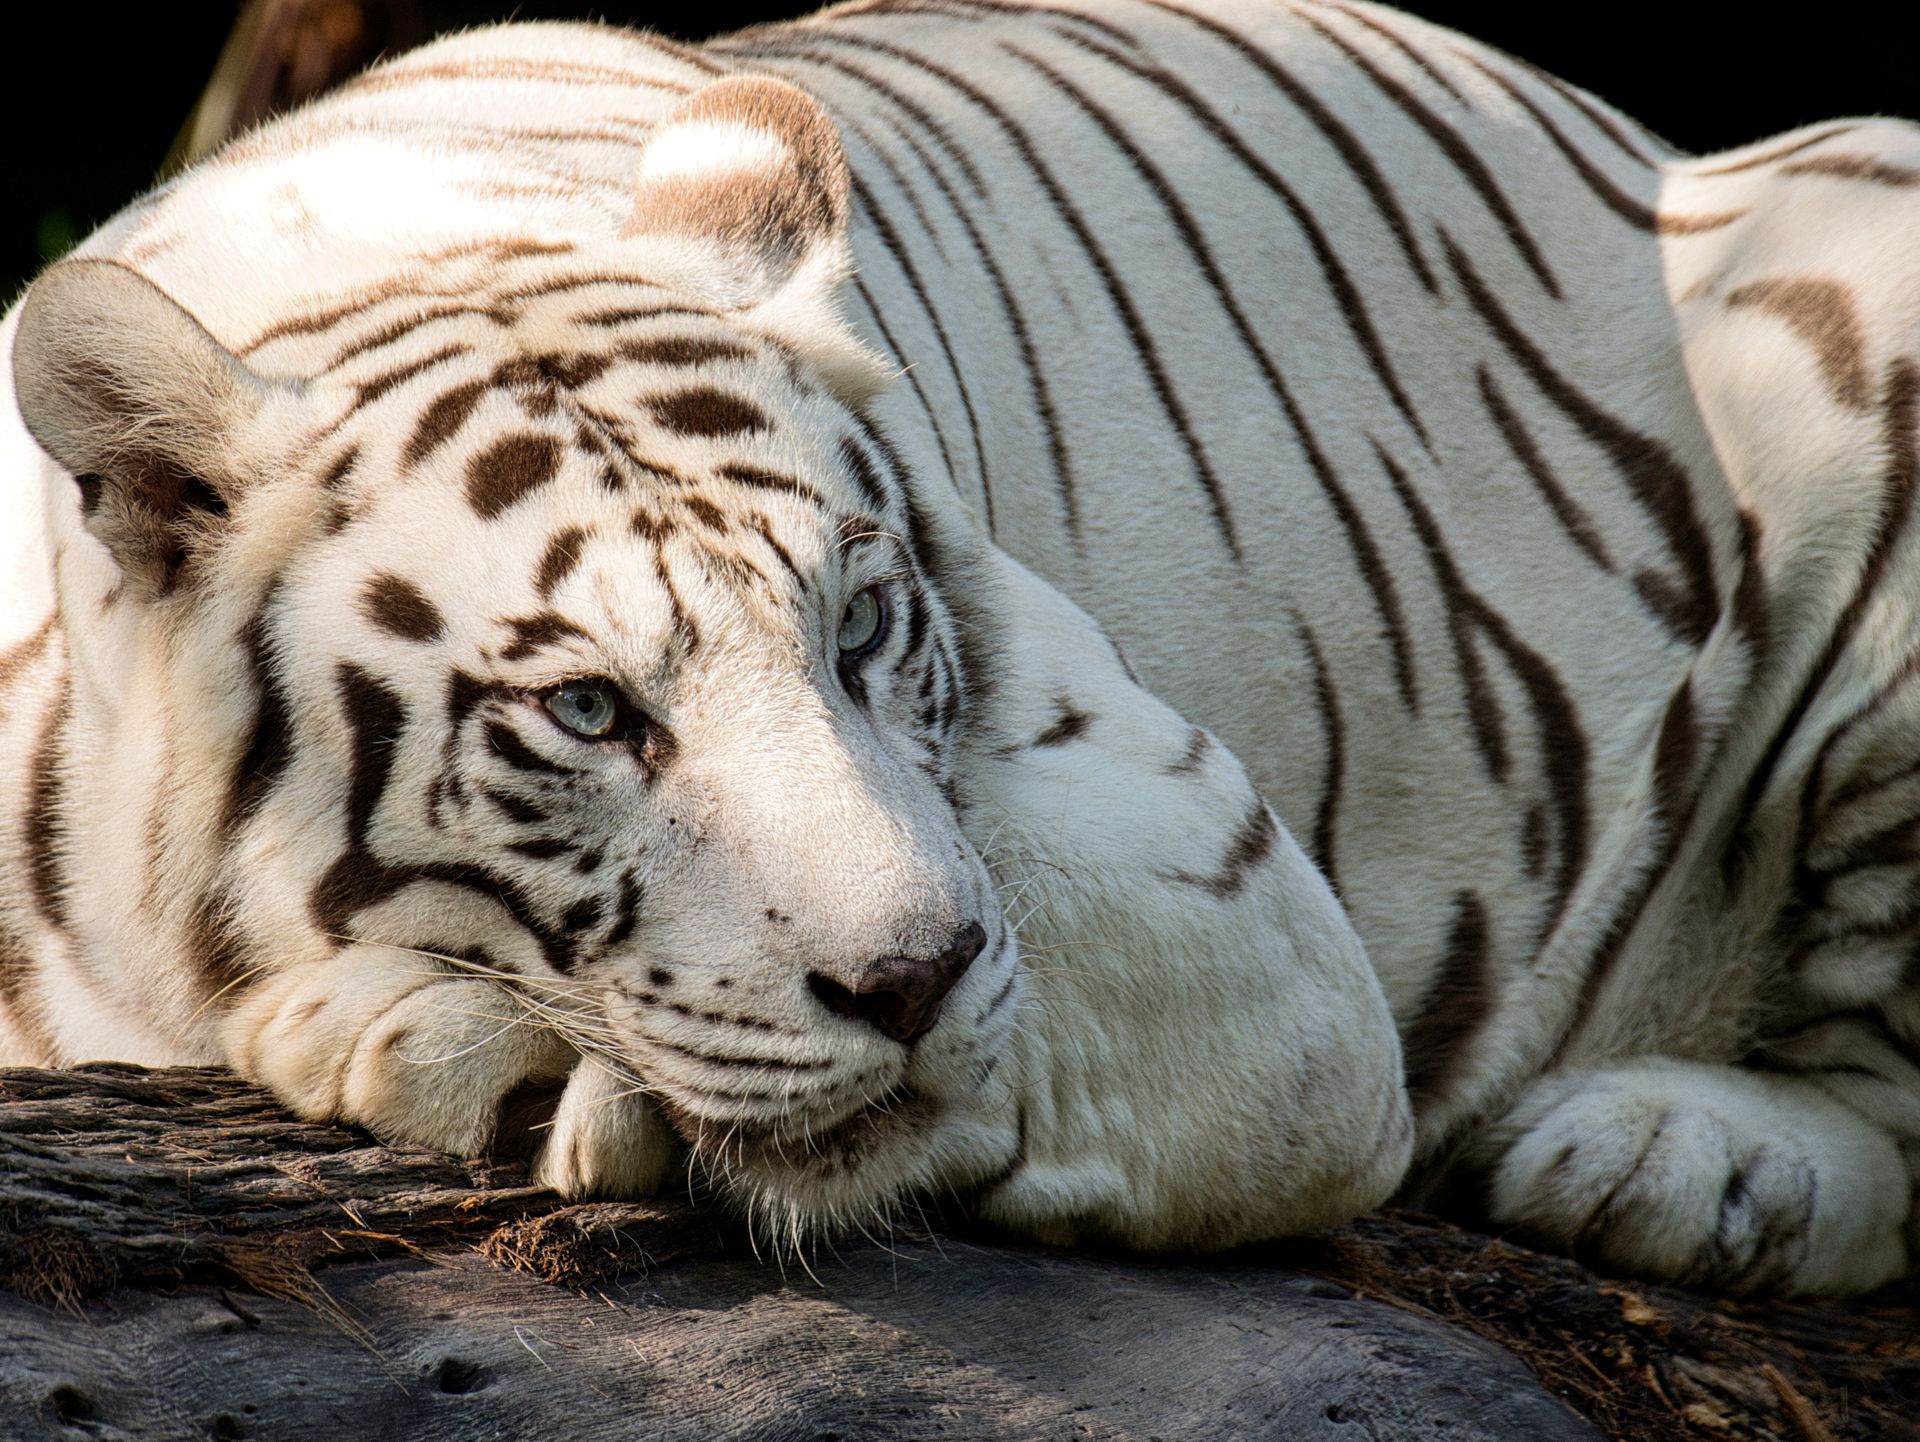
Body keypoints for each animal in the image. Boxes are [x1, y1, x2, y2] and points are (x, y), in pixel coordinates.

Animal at [4, 0, 1918, 1298]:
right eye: (591, 710)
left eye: (857, 623)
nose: (913, 979)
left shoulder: (1247, 943)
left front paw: (402, 1027)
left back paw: (1669, 1156)